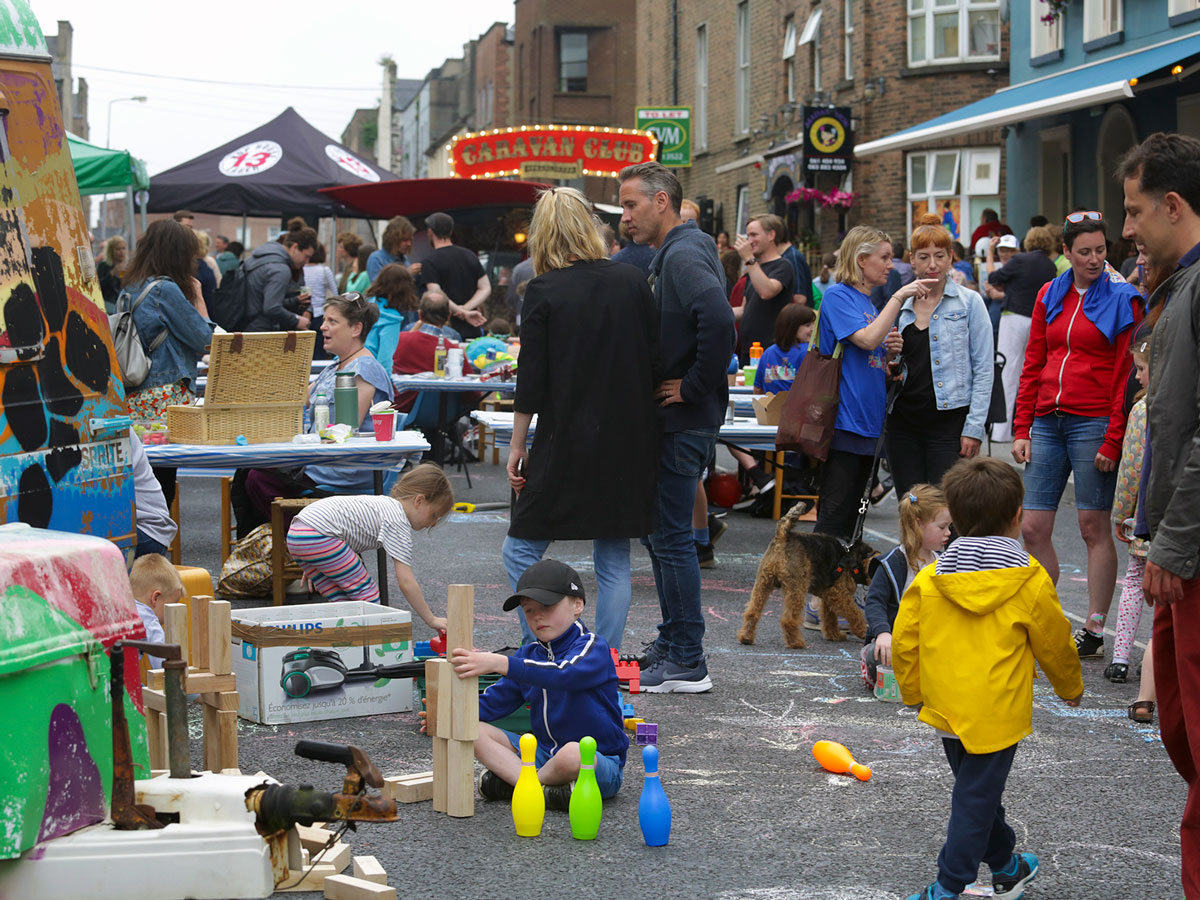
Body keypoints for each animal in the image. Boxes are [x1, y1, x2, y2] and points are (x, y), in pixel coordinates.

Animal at [729, 504, 873, 652]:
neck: (855, 561)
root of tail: (783, 536)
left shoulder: (829, 597)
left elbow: (830, 619)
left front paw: (835, 635)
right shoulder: (839, 595)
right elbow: (855, 613)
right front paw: (863, 630)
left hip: (763, 583)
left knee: (752, 612)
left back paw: (746, 637)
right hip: (796, 588)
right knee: (788, 620)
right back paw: (796, 643)